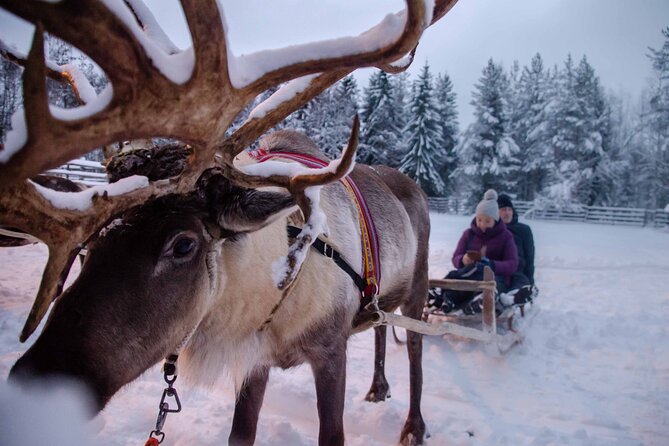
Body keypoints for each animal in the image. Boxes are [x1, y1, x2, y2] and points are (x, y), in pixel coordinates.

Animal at [0, 1, 459, 444]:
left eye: (183, 244)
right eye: (87, 248)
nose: (35, 384)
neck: (271, 296)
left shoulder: (331, 352)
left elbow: (333, 432)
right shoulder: (253, 360)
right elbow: (241, 432)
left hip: (419, 285)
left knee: (415, 348)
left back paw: (414, 426)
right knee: (381, 326)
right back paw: (379, 386)